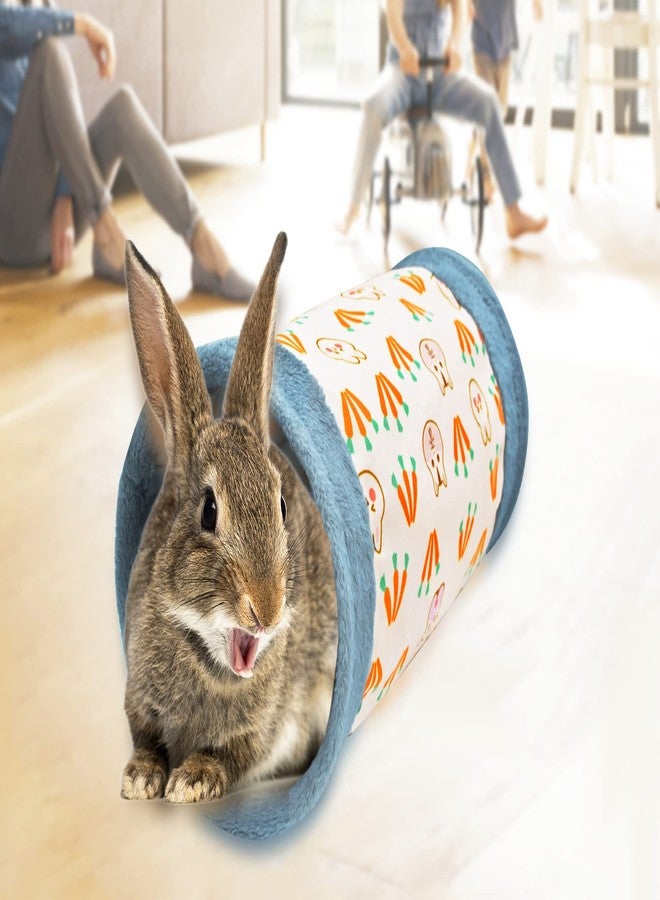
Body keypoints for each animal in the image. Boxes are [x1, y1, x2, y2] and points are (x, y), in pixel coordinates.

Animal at [120, 233, 338, 804]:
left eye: (281, 504)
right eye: (209, 510)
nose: (267, 607)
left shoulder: (266, 732)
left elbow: (230, 757)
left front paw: (189, 782)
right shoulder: (138, 703)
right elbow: (145, 741)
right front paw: (141, 778)